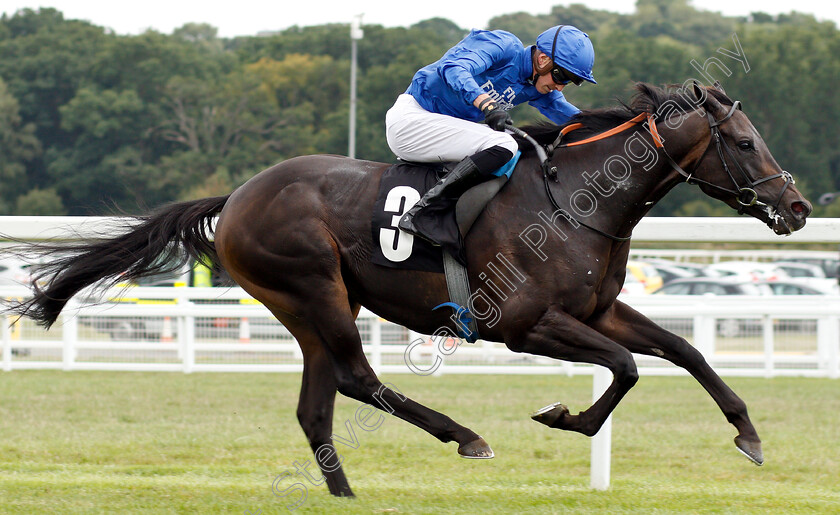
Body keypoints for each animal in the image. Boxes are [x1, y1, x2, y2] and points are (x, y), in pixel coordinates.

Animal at [4, 83, 808, 496]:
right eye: (743, 142)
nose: (797, 207)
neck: (575, 198)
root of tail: (235, 197)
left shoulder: (598, 308)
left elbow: (681, 351)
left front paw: (748, 432)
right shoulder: (523, 321)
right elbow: (628, 366)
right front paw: (563, 417)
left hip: (312, 304)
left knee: (319, 401)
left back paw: (346, 494)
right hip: (313, 287)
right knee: (357, 378)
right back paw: (465, 435)